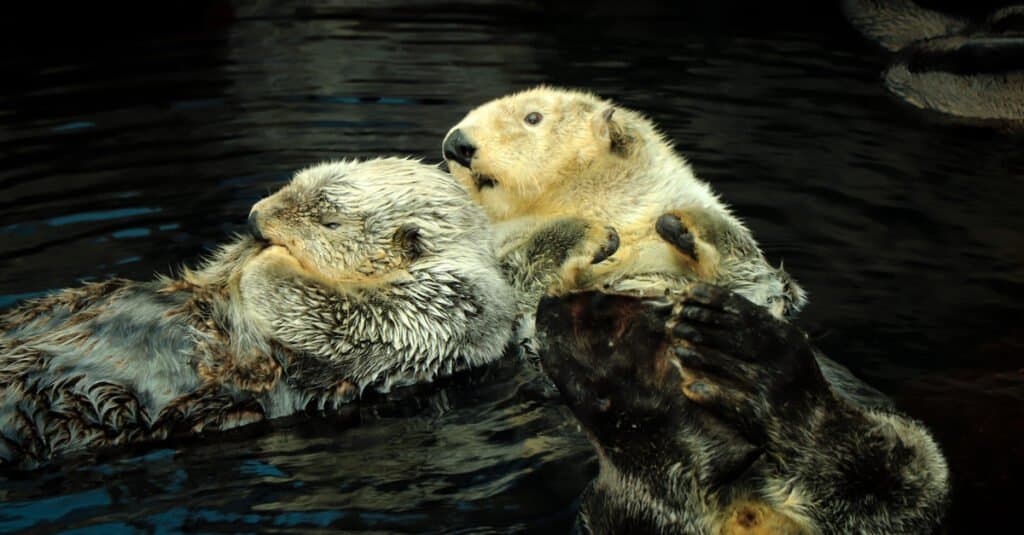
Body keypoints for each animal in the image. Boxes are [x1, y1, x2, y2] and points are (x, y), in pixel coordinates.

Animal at [0, 156, 536, 467]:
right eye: (292, 184)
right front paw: (249, 251)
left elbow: (345, 319)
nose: (256, 218)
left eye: (330, 222)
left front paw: (269, 261)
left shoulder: (444, 310)